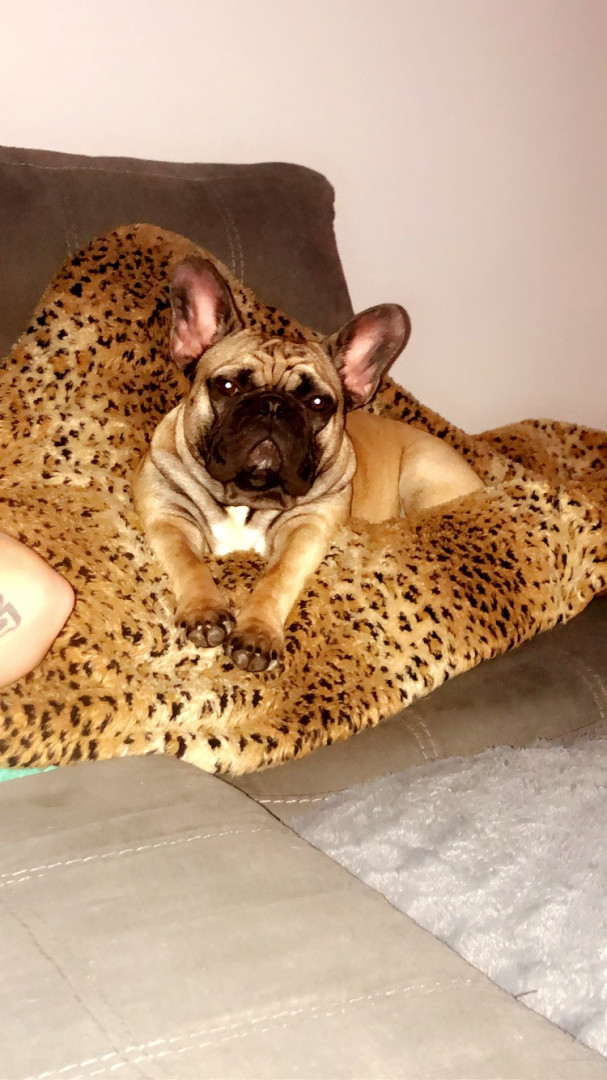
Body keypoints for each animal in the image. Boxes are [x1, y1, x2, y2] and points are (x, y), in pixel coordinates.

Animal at [134, 256, 484, 672]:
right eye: (228, 387)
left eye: (318, 403)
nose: (272, 406)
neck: (248, 493)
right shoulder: (168, 517)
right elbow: (187, 560)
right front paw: (205, 612)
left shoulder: (306, 529)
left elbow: (276, 577)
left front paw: (256, 634)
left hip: (420, 470)